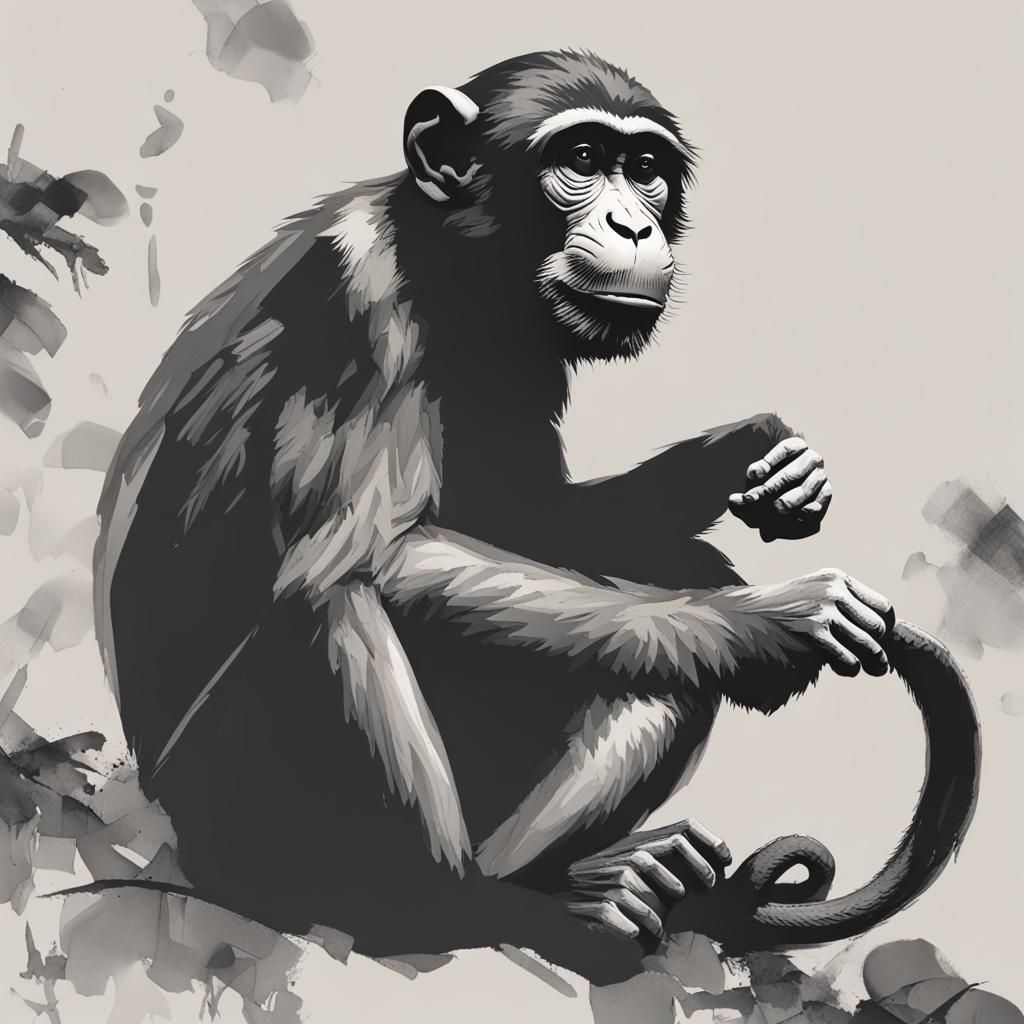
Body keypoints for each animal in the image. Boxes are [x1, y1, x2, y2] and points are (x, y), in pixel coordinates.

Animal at [93, 51, 979, 982]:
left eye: (646, 169)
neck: (450, 265)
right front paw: (776, 625)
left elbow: (531, 515)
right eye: (582, 158)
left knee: (666, 623)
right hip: (231, 812)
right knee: (335, 598)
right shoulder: (358, 301)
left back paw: (593, 885)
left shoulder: (530, 353)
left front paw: (762, 458)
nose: (633, 224)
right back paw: (439, 904)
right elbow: (379, 549)